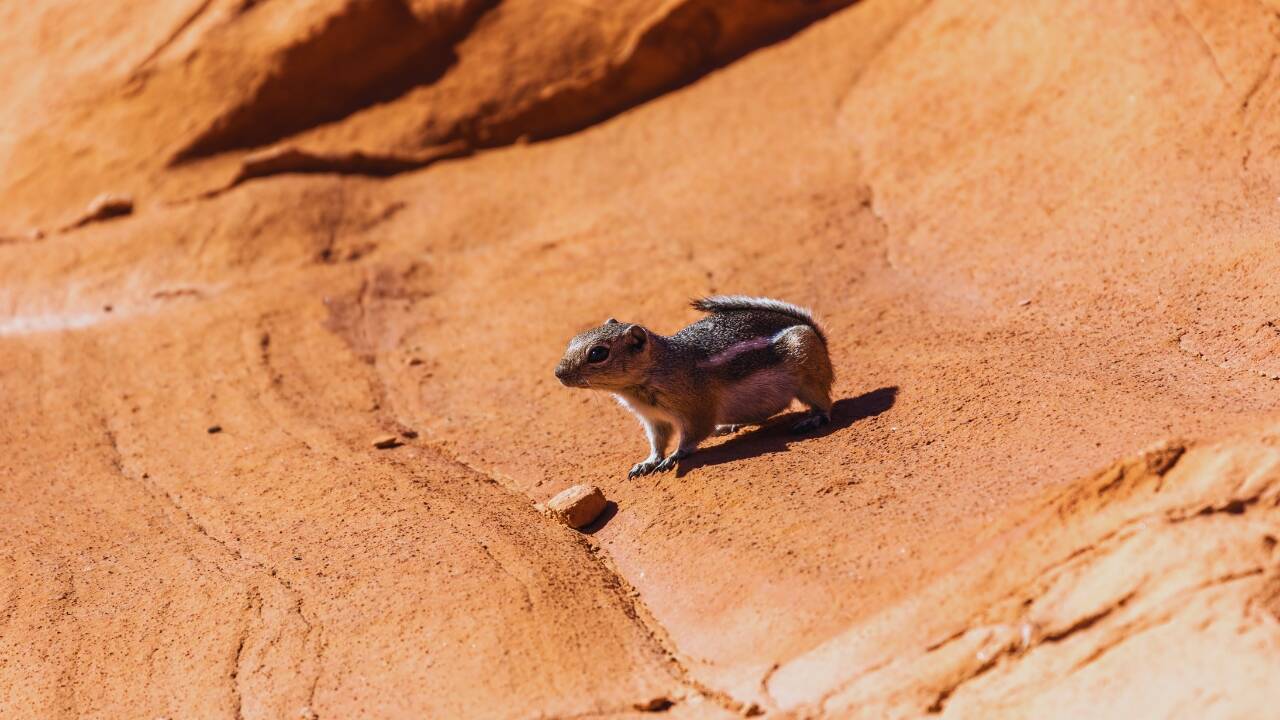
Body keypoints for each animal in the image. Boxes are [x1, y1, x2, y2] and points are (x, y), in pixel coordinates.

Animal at [554, 295, 834, 477]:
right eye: (572, 341)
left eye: (598, 353)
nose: (558, 373)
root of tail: (816, 334)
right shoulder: (654, 419)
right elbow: (657, 442)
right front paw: (648, 462)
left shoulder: (696, 408)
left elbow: (691, 436)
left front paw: (674, 457)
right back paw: (729, 425)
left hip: (807, 369)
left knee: (824, 402)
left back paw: (813, 418)